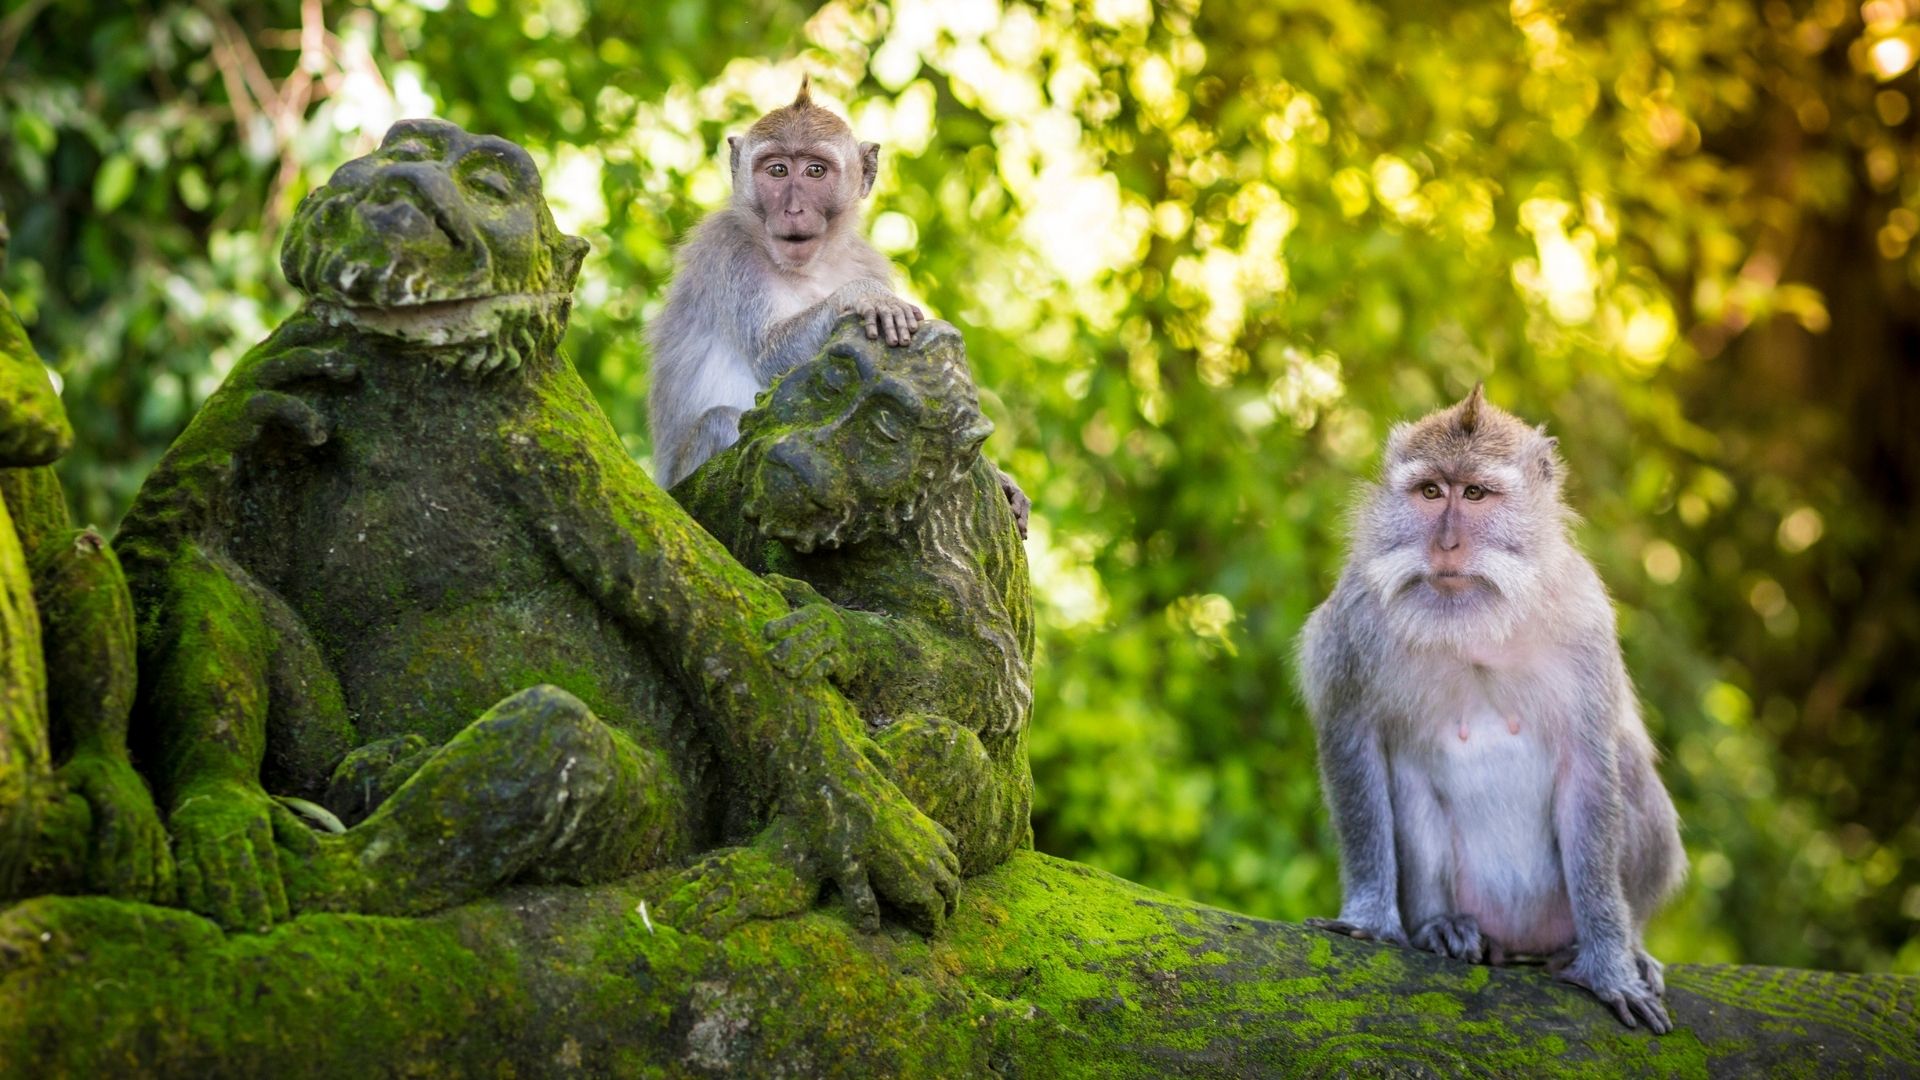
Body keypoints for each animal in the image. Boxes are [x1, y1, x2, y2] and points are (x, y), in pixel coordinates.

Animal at [645, 76, 925, 491]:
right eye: (777, 170)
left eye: (815, 171)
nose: (793, 209)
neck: (810, 267)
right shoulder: (731, 252)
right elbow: (768, 354)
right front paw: (862, 295)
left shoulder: (867, 260)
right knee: (722, 420)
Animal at [1295, 385, 1686, 1034]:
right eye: (1432, 492)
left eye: (1475, 493)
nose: (1446, 545)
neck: (1475, 624)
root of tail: (1518, 940)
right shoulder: (1356, 619)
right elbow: (1353, 740)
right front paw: (1372, 918)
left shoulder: (1584, 620)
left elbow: (1590, 767)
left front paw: (1610, 966)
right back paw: (1442, 927)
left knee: (1627, 767)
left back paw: (1617, 945)